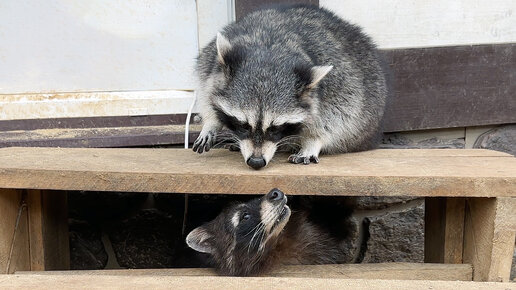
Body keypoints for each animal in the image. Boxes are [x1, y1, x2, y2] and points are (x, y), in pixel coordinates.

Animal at [191, 5, 384, 170]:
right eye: (243, 125)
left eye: (275, 129)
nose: (256, 162)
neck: (270, 50)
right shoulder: (211, 66)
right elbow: (206, 90)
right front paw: (211, 122)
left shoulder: (340, 83)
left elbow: (341, 114)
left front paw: (313, 140)